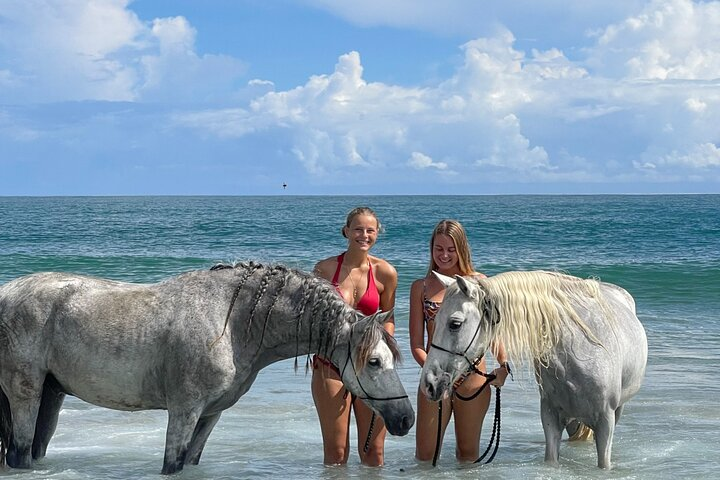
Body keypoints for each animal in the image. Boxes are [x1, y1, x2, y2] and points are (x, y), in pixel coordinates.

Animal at [0, 264, 414, 474]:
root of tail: (6, 292)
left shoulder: (211, 414)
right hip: (26, 395)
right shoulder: (184, 411)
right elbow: (172, 464)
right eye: (374, 361)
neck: (230, 324)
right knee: (18, 453)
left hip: (52, 395)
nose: (406, 418)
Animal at [420, 270, 648, 468]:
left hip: (617, 411)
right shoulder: (550, 416)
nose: (428, 383)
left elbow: (604, 464)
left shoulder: (605, 421)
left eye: (455, 324)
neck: (579, 349)